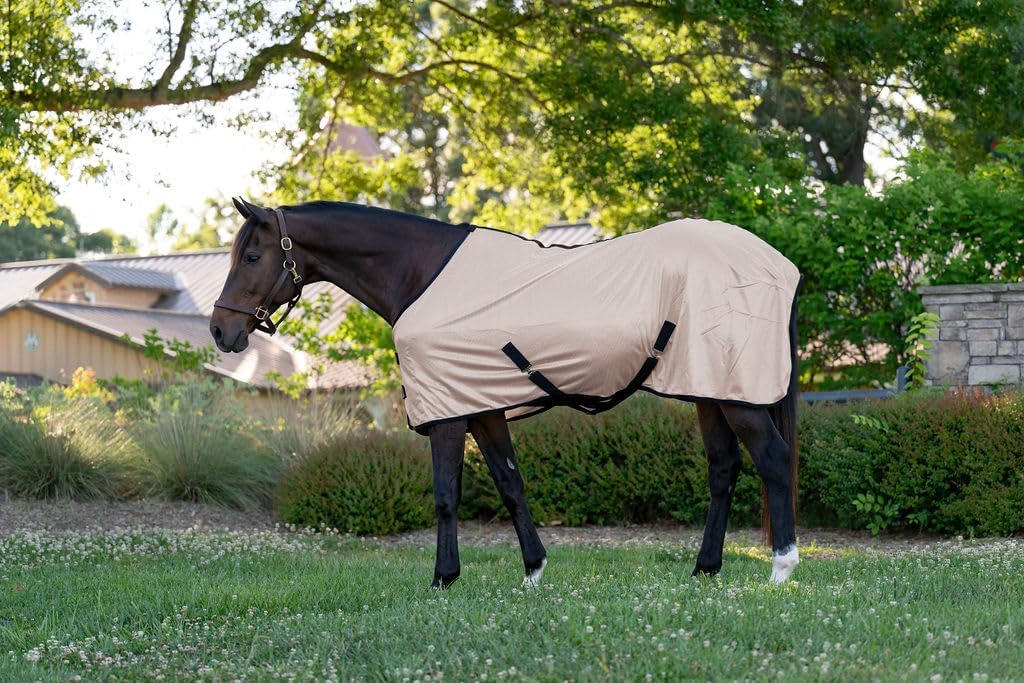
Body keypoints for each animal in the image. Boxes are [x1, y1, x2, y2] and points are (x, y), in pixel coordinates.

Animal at [210, 197, 801, 589]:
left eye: (253, 257)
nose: (221, 330)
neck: (421, 274)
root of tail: (779, 266)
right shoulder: (482, 407)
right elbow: (511, 484)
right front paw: (534, 570)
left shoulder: (448, 412)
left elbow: (446, 495)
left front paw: (444, 578)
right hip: (709, 390)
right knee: (724, 470)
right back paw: (706, 569)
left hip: (739, 397)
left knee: (773, 460)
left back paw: (782, 568)